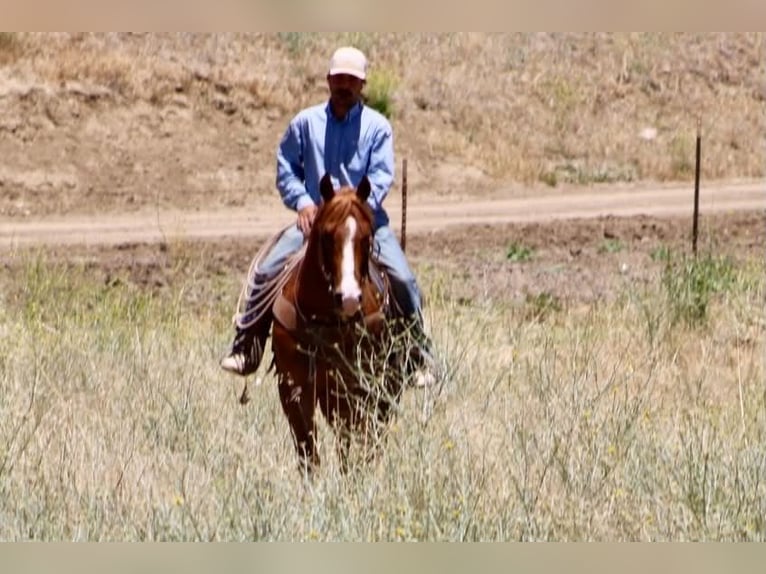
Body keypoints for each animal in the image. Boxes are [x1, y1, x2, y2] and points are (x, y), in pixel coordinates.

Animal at [270, 173, 406, 473]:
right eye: (327, 235)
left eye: (367, 237)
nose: (350, 298)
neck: (324, 322)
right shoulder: (293, 389)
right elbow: (308, 452)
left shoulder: (356, 387)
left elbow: (354, 441)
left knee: (372, 435)